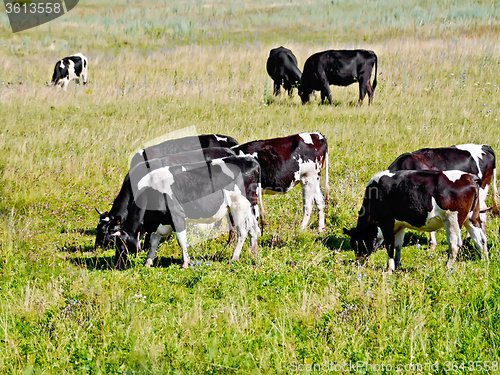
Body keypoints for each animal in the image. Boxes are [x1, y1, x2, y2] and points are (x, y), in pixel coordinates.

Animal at [112, 156, 262, 270]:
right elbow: (154, 241)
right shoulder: (162, 222)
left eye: (121, 245)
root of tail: (249, 160)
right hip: (248, 207)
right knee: (254, 228)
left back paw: (234, 258)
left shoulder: (177, 216)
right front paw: (148, 262)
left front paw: (185, 263)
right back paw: (253, 254)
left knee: (242, 232)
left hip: (239, 205)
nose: (117, 266)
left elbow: (181, 241)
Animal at [344, 170, 488, 274]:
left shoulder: (386, 222)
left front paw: (389, 269)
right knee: (480, 240)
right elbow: (398, 245)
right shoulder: (400, 224)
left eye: (354, 243)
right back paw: (484, 261)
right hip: (472, 218)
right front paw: (397, 266)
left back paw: (447, 268)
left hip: (452, 219)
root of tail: (470, 177)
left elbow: (390, 245)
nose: (357, 263)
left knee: (455, 244)